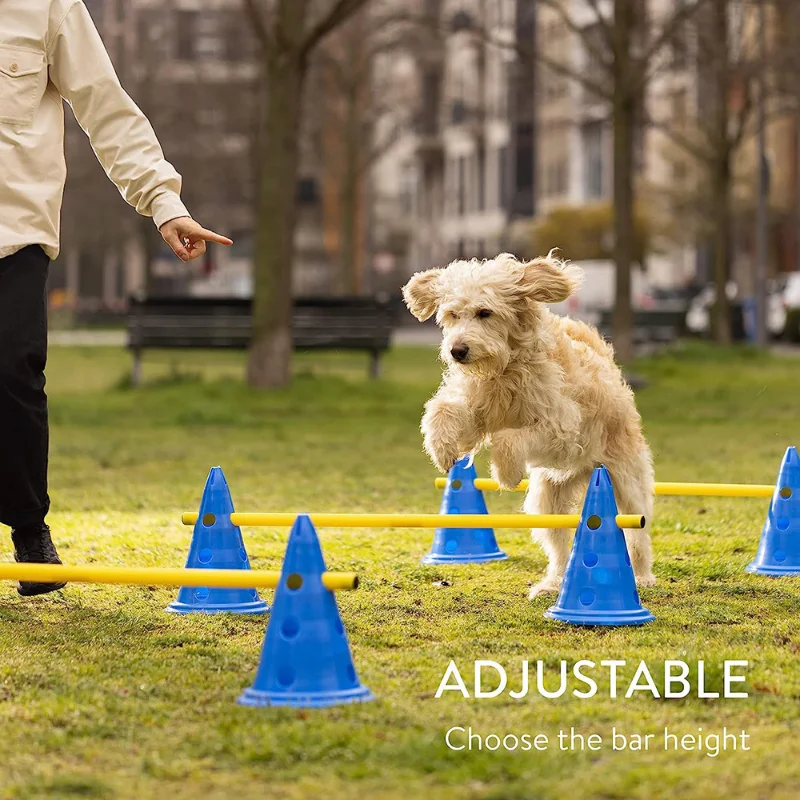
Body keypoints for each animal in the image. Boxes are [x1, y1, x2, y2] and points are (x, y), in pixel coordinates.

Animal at [404, 253, 652, 596]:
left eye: (485, 312)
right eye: (453, 314)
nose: (457, 351)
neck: (505, 371)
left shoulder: (561, 427)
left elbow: (509, 439)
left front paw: (506, 473)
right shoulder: (476, 412)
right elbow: (441, 410)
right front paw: (442, 450)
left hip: (625, 481)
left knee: (637, 531)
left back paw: (642, 576)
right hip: (548, 497)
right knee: (560, 546)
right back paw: (553, 584)